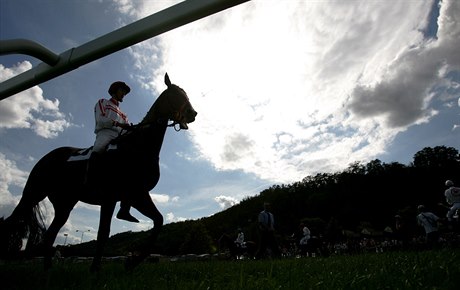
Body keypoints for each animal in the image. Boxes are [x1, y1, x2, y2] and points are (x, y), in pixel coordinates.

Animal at [0, 73, 196, 272]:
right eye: (174, 95)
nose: (192, 113)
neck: (137, 147)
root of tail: (47, 157)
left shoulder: (137, 194)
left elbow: (158, 220)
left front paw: (132, 261)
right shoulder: (111, 197)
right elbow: (103, 232)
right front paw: (96, 268)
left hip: (65, 204)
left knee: (51, 233)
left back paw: (48, 269)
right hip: (33, 193)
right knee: (12, 221)